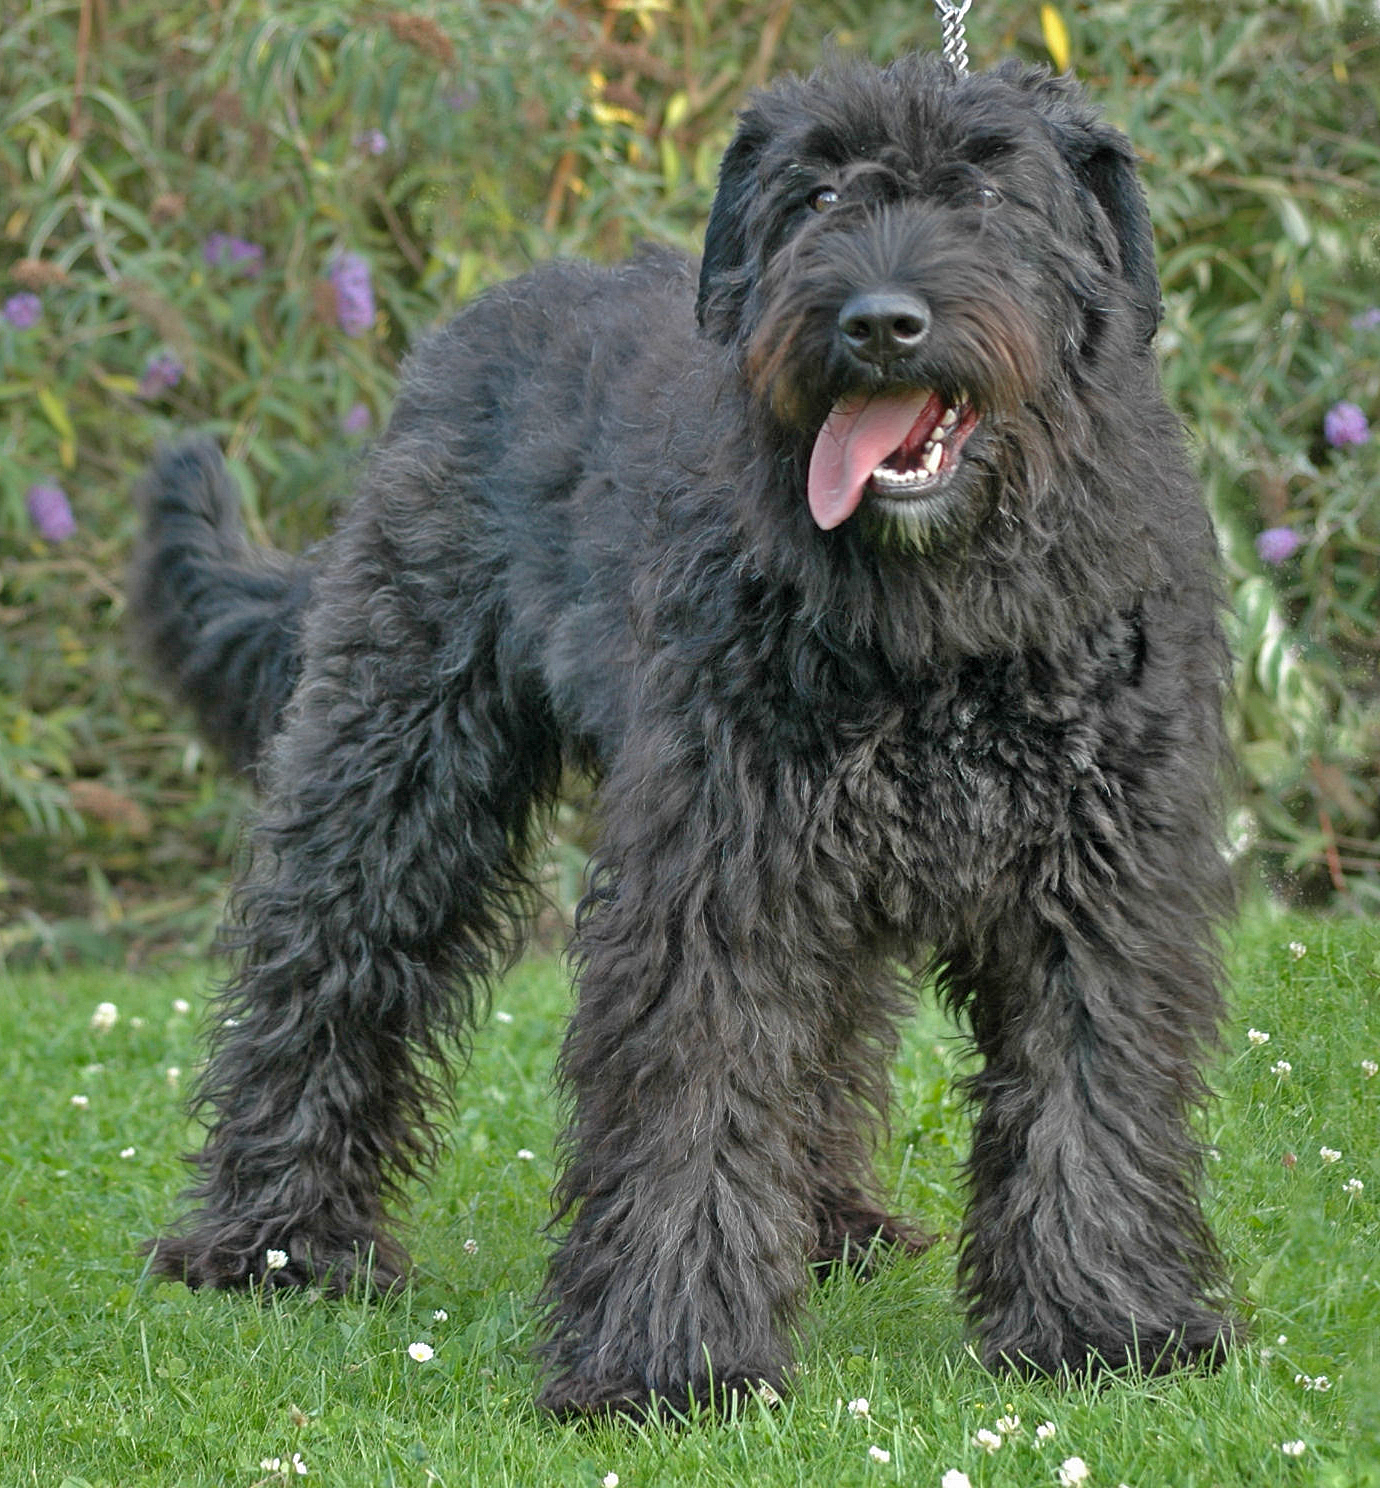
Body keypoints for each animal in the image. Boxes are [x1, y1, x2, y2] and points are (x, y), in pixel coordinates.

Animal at [129, 52, 1238, 1410]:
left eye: (991, 193)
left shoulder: (1095, 884)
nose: (879, 321)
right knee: (327, 964)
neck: (942, 622)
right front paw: (670, 1358)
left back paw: (828, 1224)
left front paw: (1107, 1320)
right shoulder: (718, 873)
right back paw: (277, 1239)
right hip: (397, 759)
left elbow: (1090, 1086)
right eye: (817, 196)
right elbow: (695, 1095)